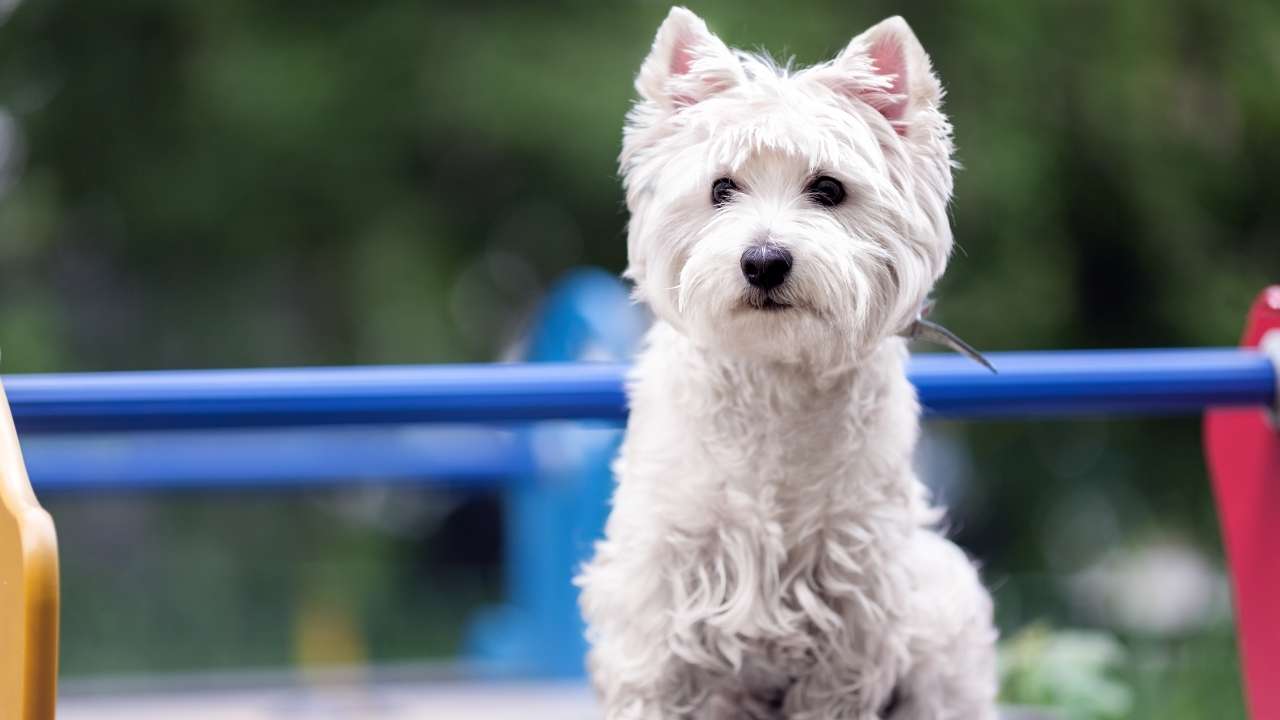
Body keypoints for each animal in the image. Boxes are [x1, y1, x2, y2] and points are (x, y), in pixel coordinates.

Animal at [581, 7, 998, 717]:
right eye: (721, 188)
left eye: (828, 189)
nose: (764, 261)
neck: (775, 378)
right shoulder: (660, 602)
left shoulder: (853, 613)